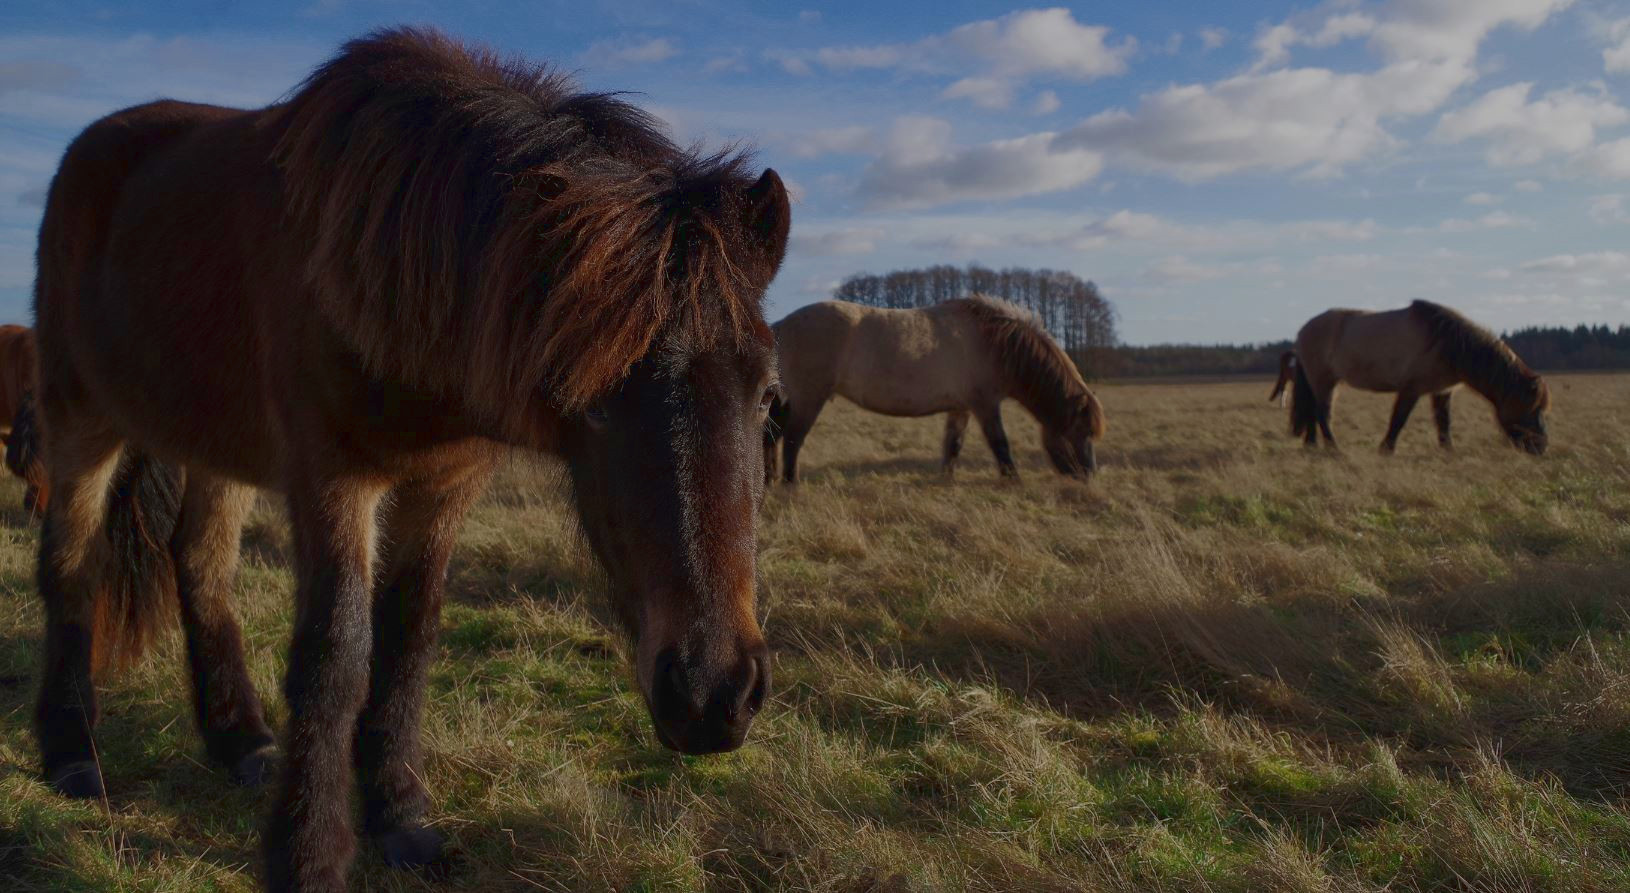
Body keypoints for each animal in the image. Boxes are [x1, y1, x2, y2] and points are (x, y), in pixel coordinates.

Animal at [27, 27, 788, 893]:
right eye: (588, 400)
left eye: (766, 395)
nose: (712, 694)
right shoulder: (333, 477)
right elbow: (336, 652)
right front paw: (310, 854)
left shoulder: (445, 486)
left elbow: (408, 638)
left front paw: (400, 816)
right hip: (80, 419)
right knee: (70, 566)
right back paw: (70, 752)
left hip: (216, 446)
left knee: (200, 564)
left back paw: (241, 740)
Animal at [766, 296, 1108, 482]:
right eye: (1080, 431)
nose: (1089, 475)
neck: (994, 343)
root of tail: (781, 325)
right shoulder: (985, 405)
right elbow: (1000, 443)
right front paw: (1013, 478)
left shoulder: (962, 407)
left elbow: (953, 444)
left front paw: (946, 478)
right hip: (808, 398)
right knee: (793, 440)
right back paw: (790, 484)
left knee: (772, 438)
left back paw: (768, 481)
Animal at [1264, 299, 1545, 453]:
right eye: (1533, 409)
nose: (1541, 448)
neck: (1445, 342)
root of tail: (1303, 331)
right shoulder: (1411, 389)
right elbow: (1398, 420)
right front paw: (1386, 450)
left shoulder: (1441, 391)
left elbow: (1444, 422)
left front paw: (1448, 450)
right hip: (1324, 381)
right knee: (1323, 414)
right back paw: (1334, 448)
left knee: (1313, 413)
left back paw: (1312, 445)